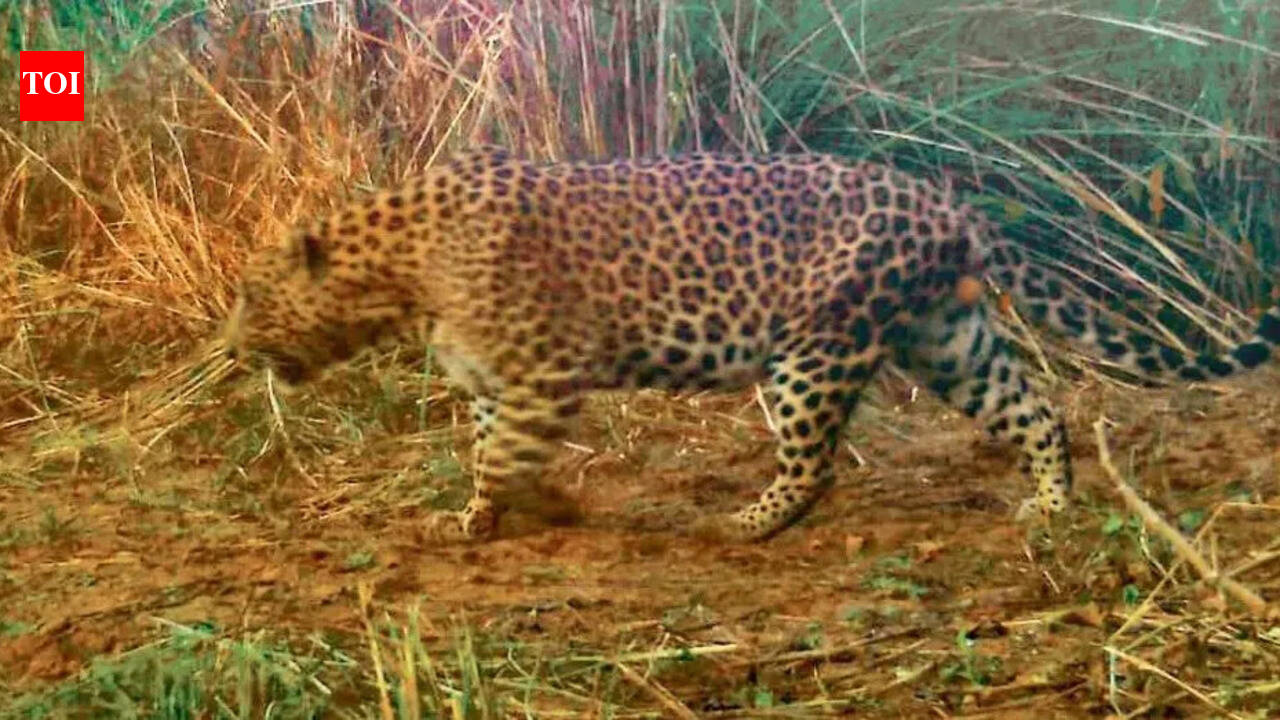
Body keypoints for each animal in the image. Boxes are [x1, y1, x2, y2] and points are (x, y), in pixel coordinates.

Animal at [222, 146, 1280, 543]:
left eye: (249, 296)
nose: (228, 347)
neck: (397, 270)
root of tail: (946, 204)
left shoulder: (539, 378)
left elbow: (497, 459)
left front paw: (476, 520)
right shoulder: (496, 384)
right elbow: (497, 448)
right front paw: (532, 506)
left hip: (809, 351)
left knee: (815, 460)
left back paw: (750, 521)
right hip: (945, 336)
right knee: (1033, 409)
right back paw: (1051, 505)